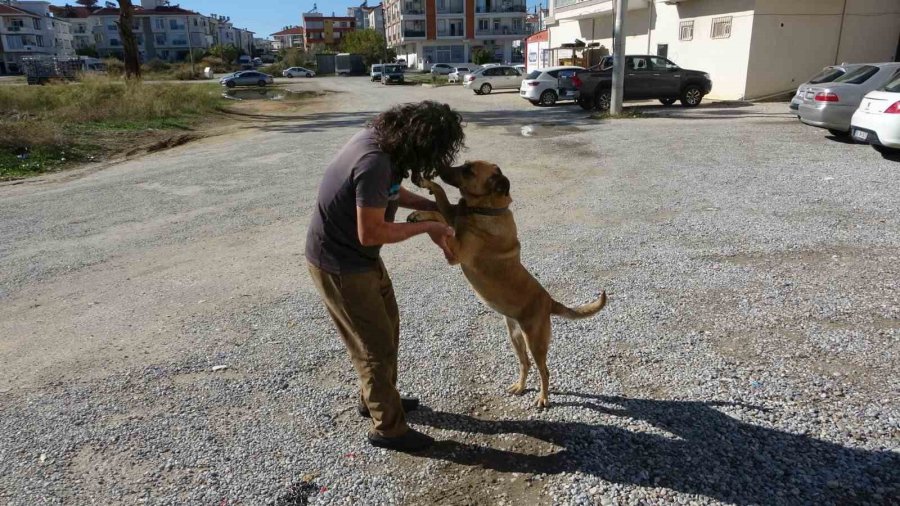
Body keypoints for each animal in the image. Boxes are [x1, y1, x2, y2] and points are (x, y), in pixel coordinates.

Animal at [412, 162, 608, 408]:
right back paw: (520, 387)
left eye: (468, 170)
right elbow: (440, 204)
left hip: (535, 341)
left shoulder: (455, 251)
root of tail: (549, 301)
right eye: (464, 164)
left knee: (544, 371)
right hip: (515, 336)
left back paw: (543, 398)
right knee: (525, 364)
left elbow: (440, 211)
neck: (488, 209)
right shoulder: (453, 219)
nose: (439, 166)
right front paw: (422, 202)